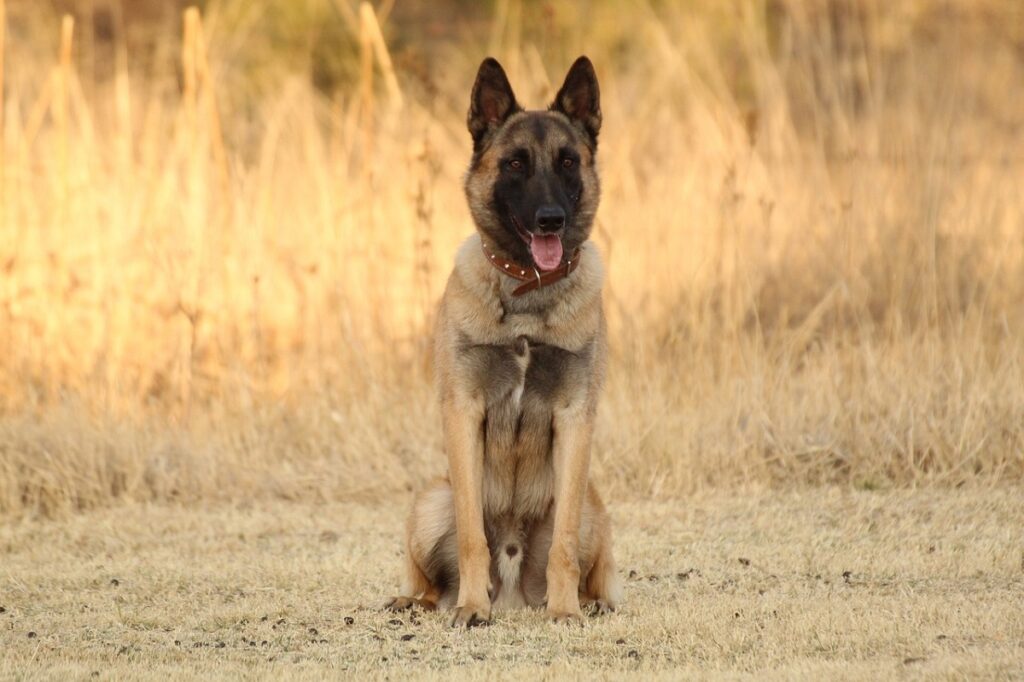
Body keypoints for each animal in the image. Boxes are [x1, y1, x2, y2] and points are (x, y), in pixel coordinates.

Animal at [385, 55, 618, 622]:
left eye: (567, 162)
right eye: (515, 164)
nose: (551, 220)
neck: (526, 292)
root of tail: (515, 592)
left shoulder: (575, 417)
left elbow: (563, 546)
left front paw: (565, 611)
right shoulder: (463, 411)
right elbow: (473, 535)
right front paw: (472, 607)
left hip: (594, 507)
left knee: (586, 565)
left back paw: (586, 605)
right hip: (431, 500)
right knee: (432, 583)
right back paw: (419, 601)